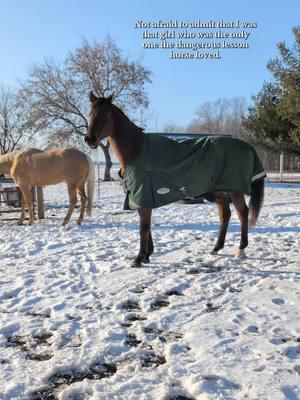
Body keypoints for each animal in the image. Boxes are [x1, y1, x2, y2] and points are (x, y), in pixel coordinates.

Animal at [85, 94, 264, 268]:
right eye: (90, 114)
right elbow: (146, 226)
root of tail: (247, 146)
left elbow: (143, 227)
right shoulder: (142, 198)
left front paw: (139, 258)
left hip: (235, 190)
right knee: (225, 215)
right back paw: (216, 248)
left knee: (243, 213)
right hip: (220, 190)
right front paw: (147, 255)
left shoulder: (143, 196)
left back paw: (241, 249)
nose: (89, 139)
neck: (137, 150)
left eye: (104, 115)